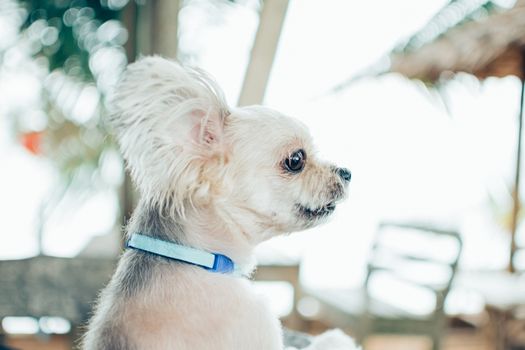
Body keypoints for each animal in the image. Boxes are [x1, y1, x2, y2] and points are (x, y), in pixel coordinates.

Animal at [83, 56, 356, 348]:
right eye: (296, 160)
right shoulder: (258, 322)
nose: (346, 172)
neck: (194, 257)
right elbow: (330, 340)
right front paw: (335, 337)